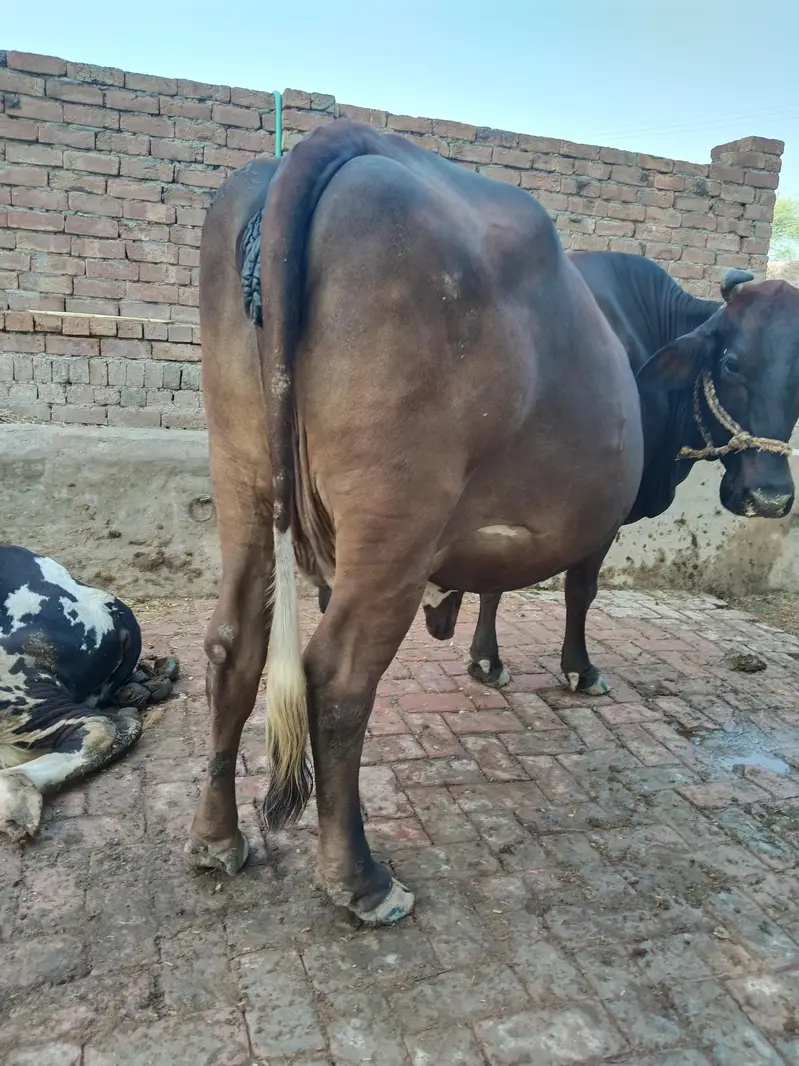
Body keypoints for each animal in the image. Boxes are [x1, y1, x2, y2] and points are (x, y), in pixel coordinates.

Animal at [319, 253, 799, 694]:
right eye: (731, 363)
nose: (769, 497)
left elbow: (496, 583)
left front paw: (485, 660)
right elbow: (579, 588)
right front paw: (578, 669)